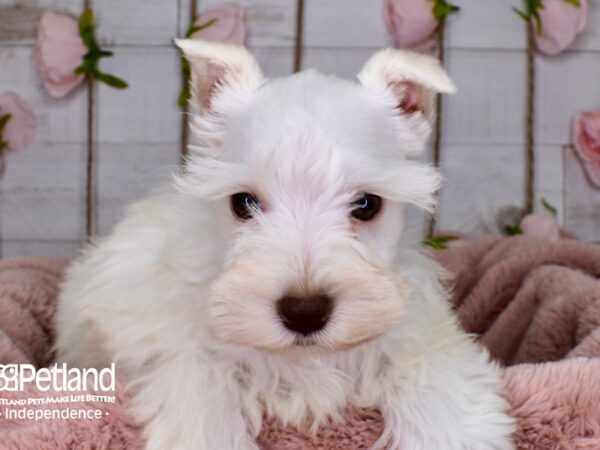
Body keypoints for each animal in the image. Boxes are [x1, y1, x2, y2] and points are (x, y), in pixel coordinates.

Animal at [56, 39, 512, 450]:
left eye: (367, 205)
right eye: (243, 203)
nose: (305, 311)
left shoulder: (422, 335)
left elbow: (434, 375)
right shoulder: (178, 348)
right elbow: (202, 383)